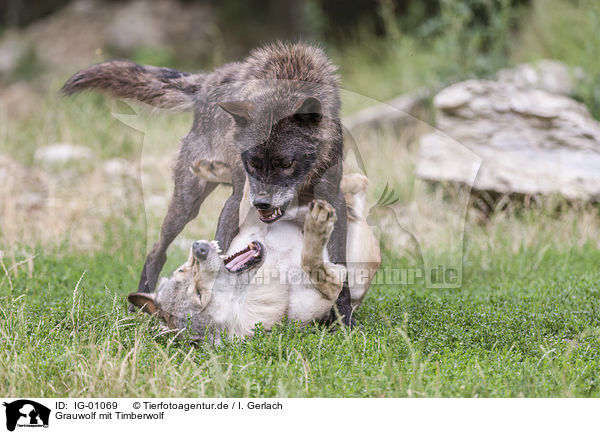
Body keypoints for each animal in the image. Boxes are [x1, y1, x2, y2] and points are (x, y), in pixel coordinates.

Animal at [127, 163, 380, 342]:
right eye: (199, 294)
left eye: (182, 270)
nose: (199, 248)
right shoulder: (333, 283)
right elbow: (312, 260)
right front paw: (318, 225)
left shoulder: (251, 222)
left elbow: (249, 190)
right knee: (358, 187)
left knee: (354, 184)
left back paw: (211, 168)